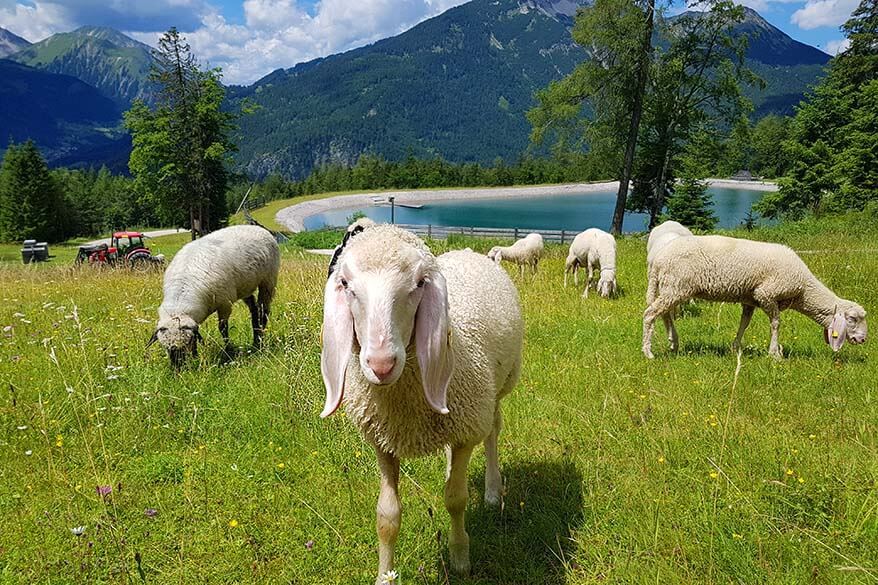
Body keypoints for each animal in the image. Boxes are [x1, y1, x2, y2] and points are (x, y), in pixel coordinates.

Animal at [148, 224, 278, 364]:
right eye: (164, 347)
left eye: (188, 343)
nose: (177, 366)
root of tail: (256, 227)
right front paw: (196, 356)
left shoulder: (225, 304)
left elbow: (223, 328)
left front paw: (228, 350)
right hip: (245, 286)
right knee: (254, 309)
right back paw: (255, 338)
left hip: (268, 281)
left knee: (264, 311)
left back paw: (260, 339)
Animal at [322, 224, 524, 580]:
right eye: (345, 284)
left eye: (418, 284)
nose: (381, 364)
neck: (403, 403)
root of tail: (468, 251)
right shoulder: (383, 442)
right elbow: (386, 516)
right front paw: (384, 576)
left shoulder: (467, 426)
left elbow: (455, 499)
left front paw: (460, 558)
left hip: (497, 391)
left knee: (492, 433)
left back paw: (491, 490)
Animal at [644, 235, 868, 358]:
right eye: (852, 319)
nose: (863, 339)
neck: (803, 289)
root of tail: (657, 260)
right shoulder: (766, 294)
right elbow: (776, 323)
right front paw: (775, 353)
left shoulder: (749, 299)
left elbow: (745, 323)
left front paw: (735, 348)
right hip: (675, 287)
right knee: (650, 314)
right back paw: (648, 353)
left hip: (671, 288)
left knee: (664, 314)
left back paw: (674, 343)